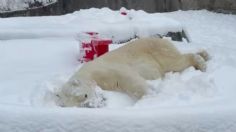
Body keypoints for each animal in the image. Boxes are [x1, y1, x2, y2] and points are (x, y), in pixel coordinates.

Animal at [56, 37, 209, 107]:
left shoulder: (105, 68)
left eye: (85, 95)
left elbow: (127, 78)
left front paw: (148, 97)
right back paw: (205, 54)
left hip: (156, 50)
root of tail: (161, 39)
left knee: (175, 62)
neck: (88, 73)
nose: (94, 105)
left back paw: (201, 63)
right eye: (80, 105)